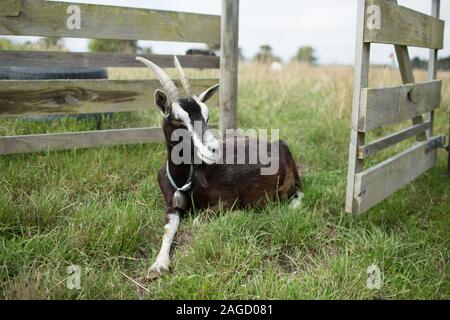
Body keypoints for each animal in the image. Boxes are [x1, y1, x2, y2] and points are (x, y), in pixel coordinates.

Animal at [135, 56, 304, 278]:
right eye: (177, 119)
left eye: (206, 116)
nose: (214, 149)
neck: (184, 179)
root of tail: (278, 143)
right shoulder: (171, 204)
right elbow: (167, 229)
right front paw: (158, 265)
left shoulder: (229, 198)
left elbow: (199, 220)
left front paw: (238, 214)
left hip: (289, 180)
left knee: (298, 193)